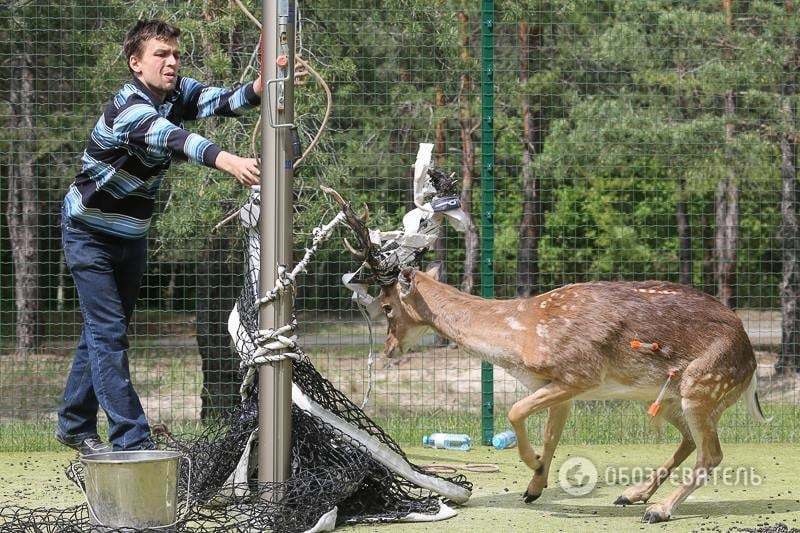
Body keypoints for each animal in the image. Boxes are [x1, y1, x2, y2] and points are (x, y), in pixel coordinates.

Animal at [322, 185, 772, 520]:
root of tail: (752, 363)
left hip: (703, 383)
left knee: (712, 453)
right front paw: (535, 484)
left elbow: (514, 411)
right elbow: (551, 434)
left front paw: (532, 464)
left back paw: (658, 510)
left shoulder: (580, 373)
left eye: (385, 306)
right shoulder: (560, 386)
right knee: (690, 443)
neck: (521, 336)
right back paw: (632, 495)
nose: (389, 349)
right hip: (676, 396)